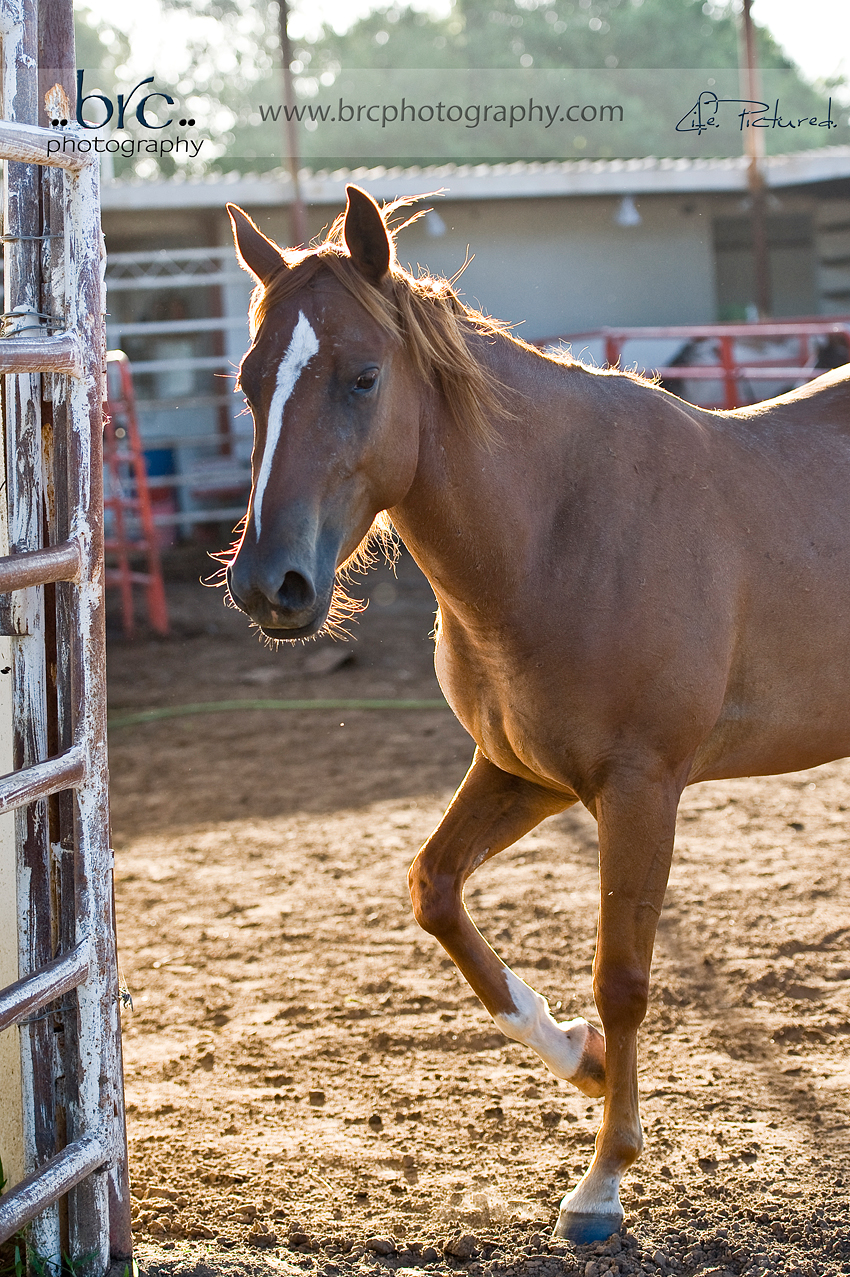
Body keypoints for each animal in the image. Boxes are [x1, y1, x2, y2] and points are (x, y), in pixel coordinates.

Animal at [224, 185, 850, 1245]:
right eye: (249, 382)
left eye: (362, 377)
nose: (272, 585)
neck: (558, 527)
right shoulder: (522, 773)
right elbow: (435, 889)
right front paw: (581, 1057)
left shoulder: (640, 790)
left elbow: (624, 977)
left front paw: (602, 1181)